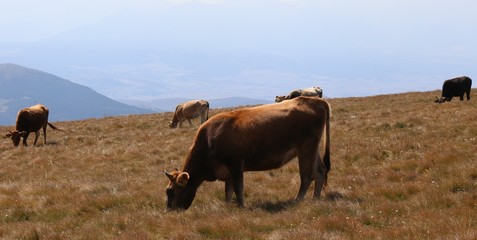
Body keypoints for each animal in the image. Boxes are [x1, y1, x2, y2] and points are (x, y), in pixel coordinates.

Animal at [165, 96, 330, 210]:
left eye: (171, 191)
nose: (169, 210)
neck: (209, 139)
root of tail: (314, 100)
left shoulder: (236, 164)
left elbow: (238, 188)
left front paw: (241, 207)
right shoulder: (227, 171)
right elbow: (228, 190)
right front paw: (227, 206)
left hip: (306, 149)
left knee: (307, 176)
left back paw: (297, 200)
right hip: (312, 150)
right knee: (321, 171)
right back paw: (316, 199)